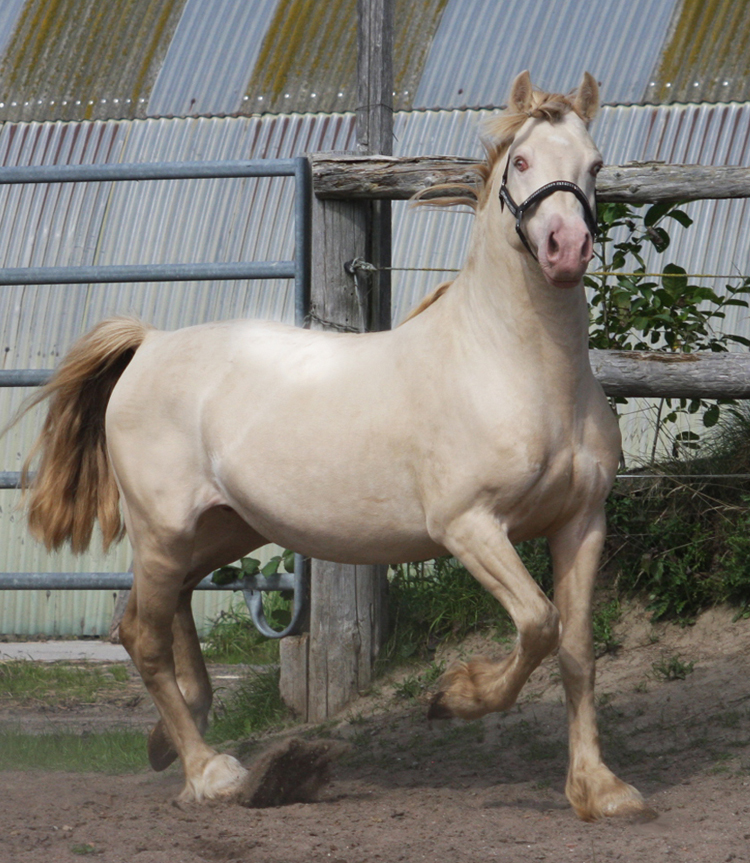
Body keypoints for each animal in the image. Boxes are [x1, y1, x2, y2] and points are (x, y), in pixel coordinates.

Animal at [16, 71, 651, 821]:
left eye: (596, 165)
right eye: (521, 161)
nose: (565, 248)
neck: (514, 368)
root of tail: (151, 345)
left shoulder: (581, 522)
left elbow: (577, 647)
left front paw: (601, 789)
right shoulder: (469, 526)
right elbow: (538, 623)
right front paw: (454, 696)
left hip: (223, 527)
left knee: (153, 615)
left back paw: (174, 736)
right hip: (163, 528)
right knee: (144, 635)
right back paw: (211, 772)